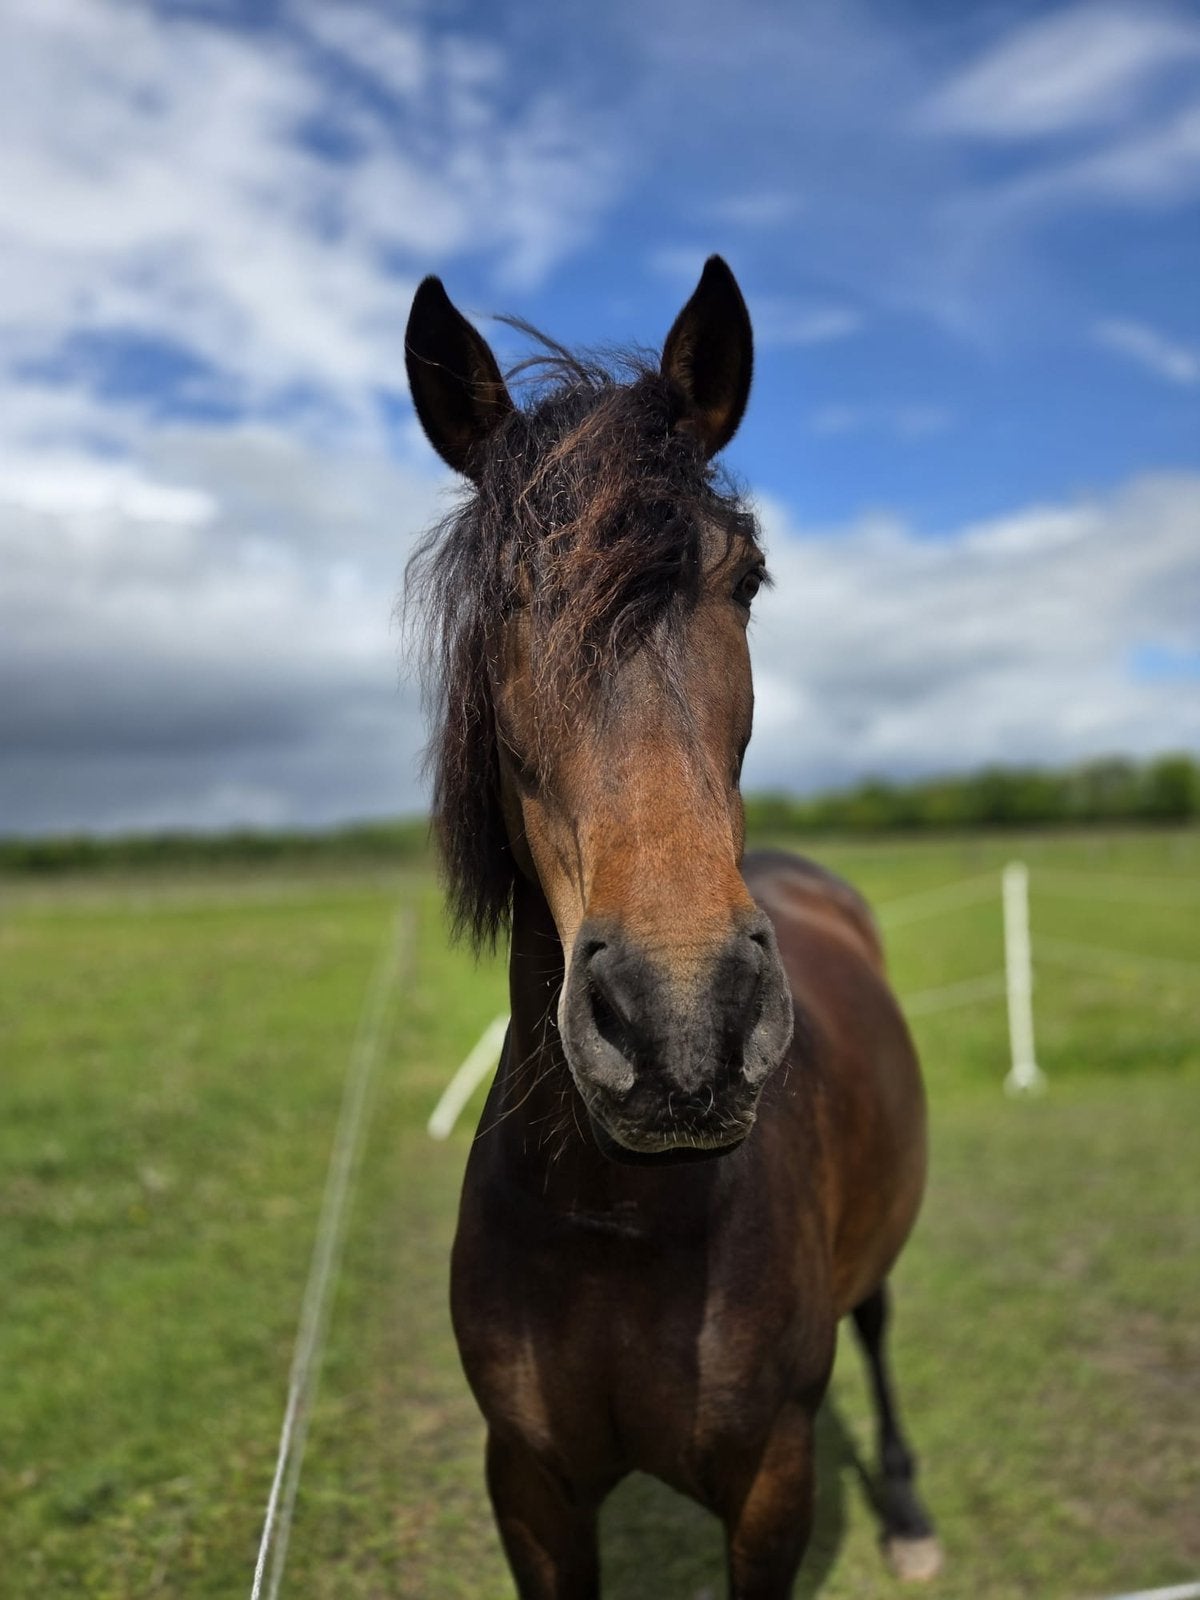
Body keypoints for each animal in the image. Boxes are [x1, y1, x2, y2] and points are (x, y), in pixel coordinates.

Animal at [404, 256, 941, 1598]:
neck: (616, 1222)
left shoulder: (774, 1485)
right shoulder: (528, 1489)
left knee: (880, 1324)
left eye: (744, 578)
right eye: (504, 591)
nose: (682, 1024)